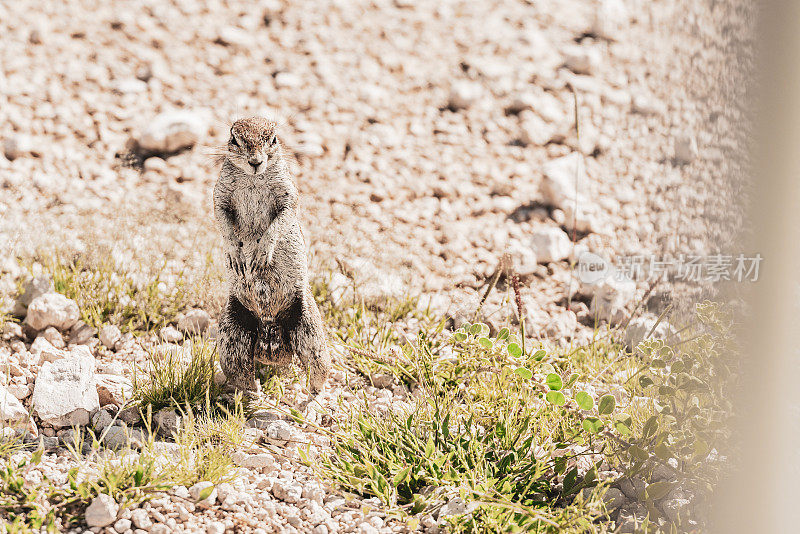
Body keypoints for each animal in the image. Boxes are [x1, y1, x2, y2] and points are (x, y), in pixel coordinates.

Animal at [212, 116, 332, 398]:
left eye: (274, 139)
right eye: (235, 139)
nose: (256, 162)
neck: (253, 179)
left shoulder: (287, 192)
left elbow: (282, 217)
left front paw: (262, 251)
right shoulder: (221, 193)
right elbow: (221, 216)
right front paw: (236, 252)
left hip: (311, 333)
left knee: (318, 371)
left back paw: (311, 396)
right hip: (231, 339)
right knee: (241, 374)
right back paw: (254, 394)